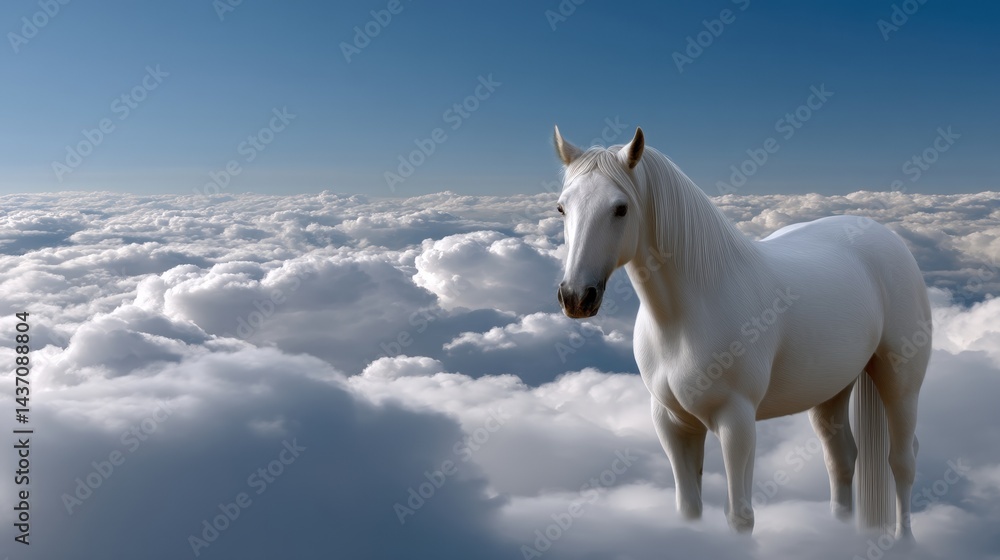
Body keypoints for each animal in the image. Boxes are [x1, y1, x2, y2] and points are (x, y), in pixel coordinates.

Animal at [551, 125, 930, 539]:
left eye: (620, 208)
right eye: (562, 208)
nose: (575, 297)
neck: (687, 316)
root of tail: (885, 236)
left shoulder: (737, 422)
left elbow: (740, 516)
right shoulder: (672, 424)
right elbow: (689, 509)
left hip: (901, 382)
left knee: (903, 461)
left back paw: (904, 540)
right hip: (831, 387)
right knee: (842, 457)